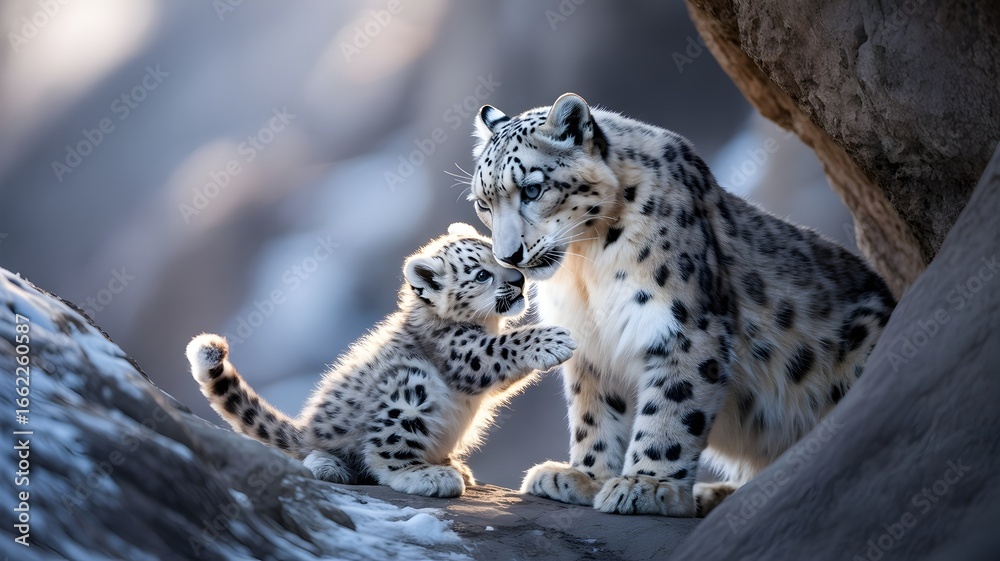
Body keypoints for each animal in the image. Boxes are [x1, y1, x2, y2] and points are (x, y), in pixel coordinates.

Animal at [186, 222, 576, 497]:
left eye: (500, 256)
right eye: (481, 274)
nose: (519, 278)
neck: (486, 324)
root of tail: (308, 429)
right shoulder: (463, 353)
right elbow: (501, 348)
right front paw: (556, 339)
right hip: (408, 389)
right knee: (379, 459)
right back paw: (425, 474)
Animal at [466, 93, 894, 516]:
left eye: (532, 190)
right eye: (484, 204)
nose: (508, 256)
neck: (584, 267)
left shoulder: (683, 328)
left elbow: (671, 406)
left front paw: (646, 485)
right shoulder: (592, 343)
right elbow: (593, 410)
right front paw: (584, 476)